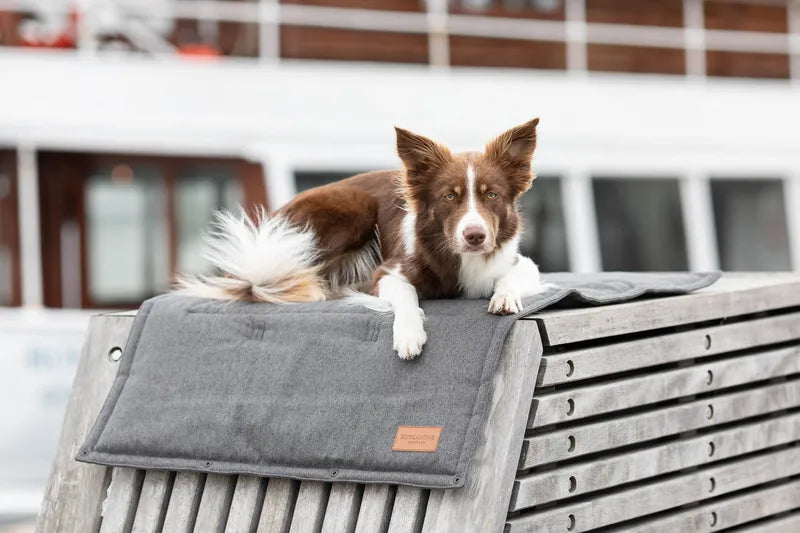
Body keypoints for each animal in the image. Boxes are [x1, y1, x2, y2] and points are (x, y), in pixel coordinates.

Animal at [177, 116, 548, 358]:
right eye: (449, 197)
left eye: (492, 195)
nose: (475, 236)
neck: (462, 258)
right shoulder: (388, 271)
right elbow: (406, 296)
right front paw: (409, 334)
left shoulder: (522, 262)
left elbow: (512, 277)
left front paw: (504, 297)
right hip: (354, 205)